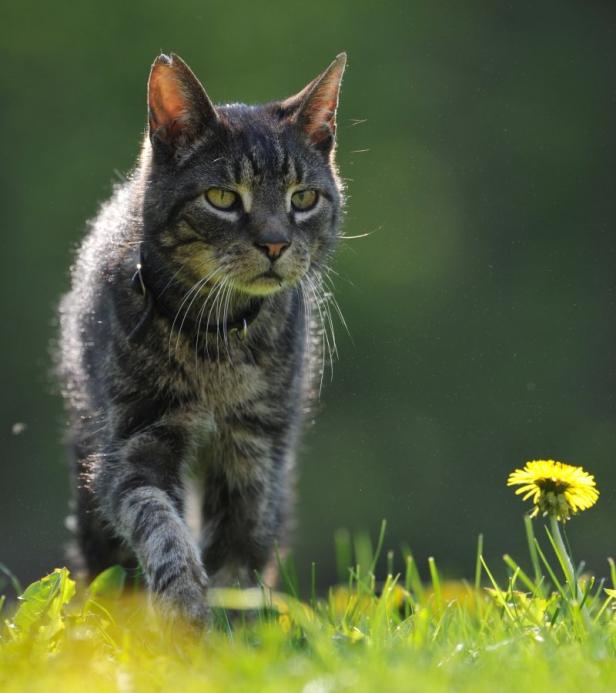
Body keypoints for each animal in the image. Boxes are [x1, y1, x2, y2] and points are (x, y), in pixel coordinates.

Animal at [59, 50, 346, 620]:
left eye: (303, 198)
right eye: (222, 198)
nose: (275, 243)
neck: (216, 338)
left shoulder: (255, 447)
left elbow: (240, 547)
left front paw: (233, 625)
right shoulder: (134, 439)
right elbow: (158, 521)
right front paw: (184, 609)